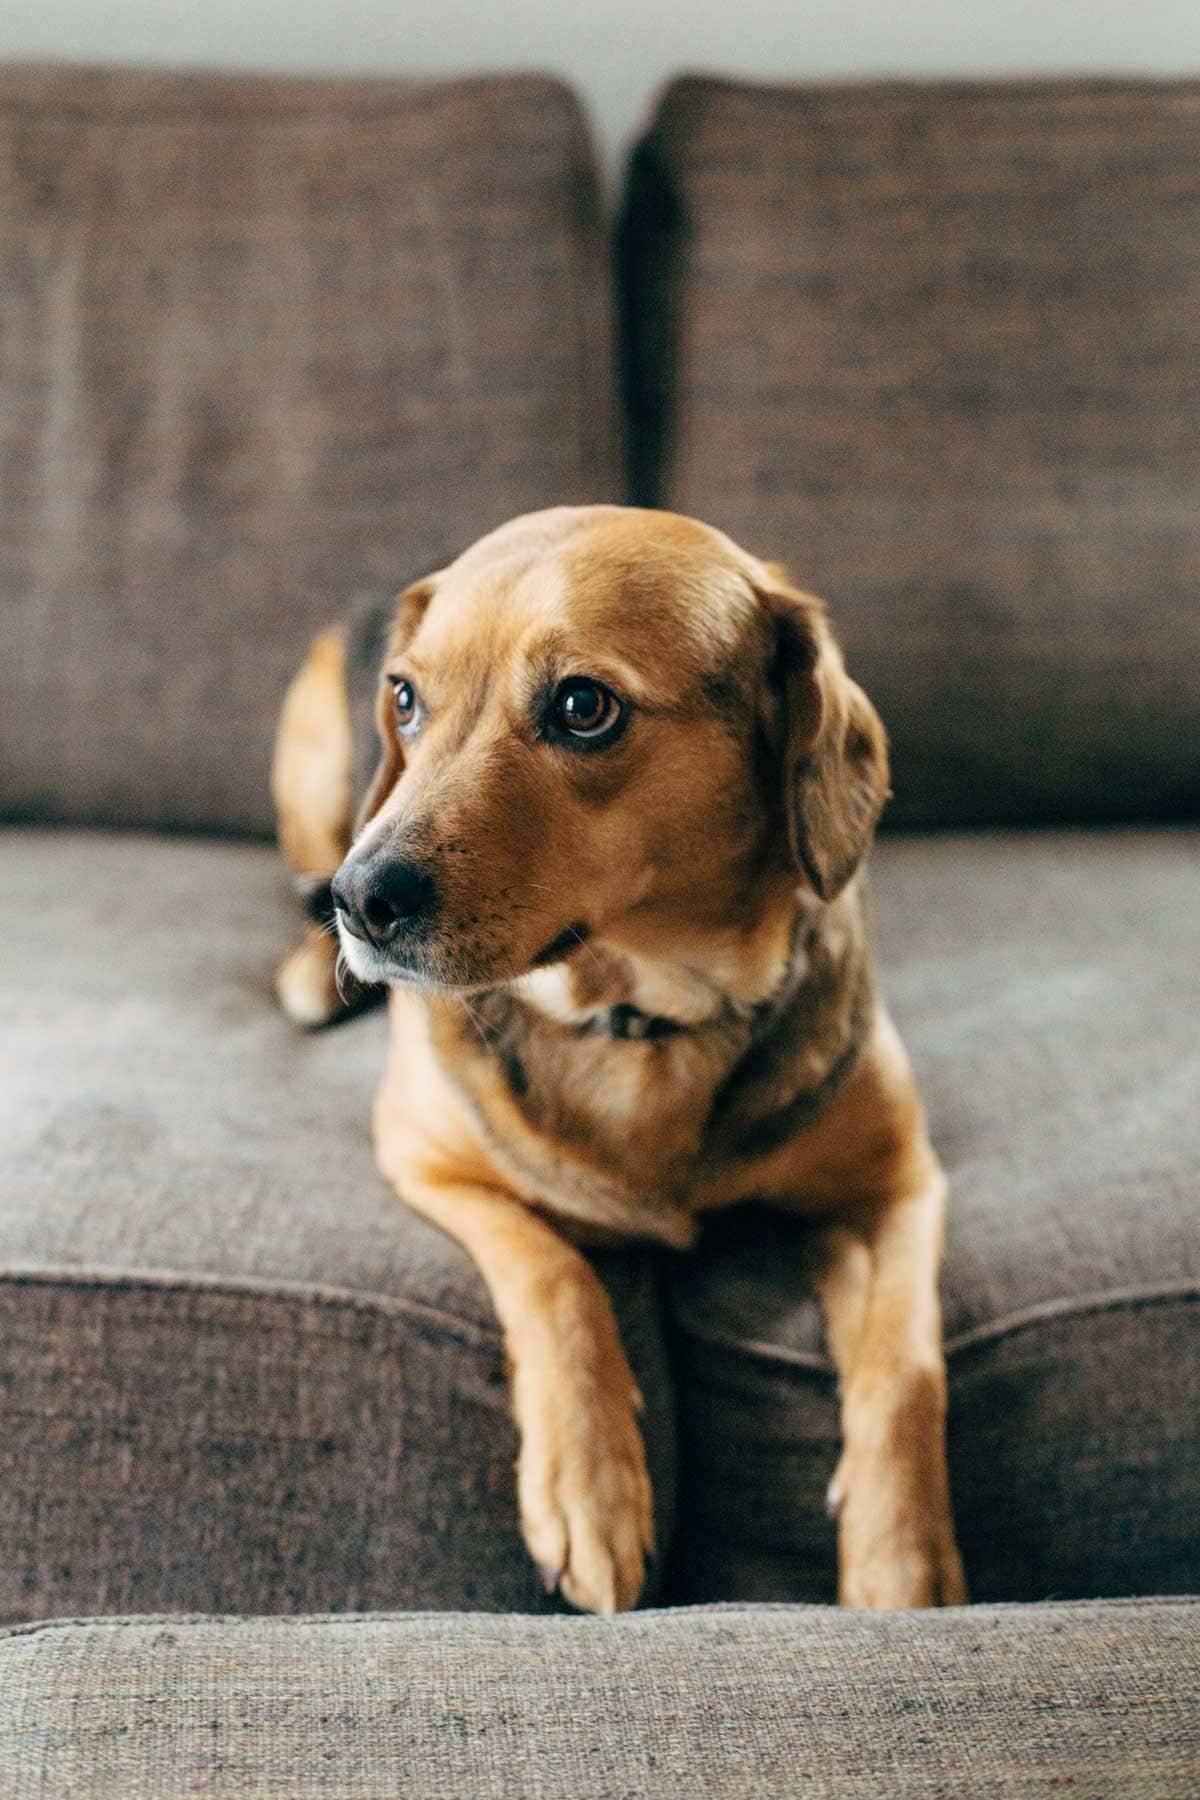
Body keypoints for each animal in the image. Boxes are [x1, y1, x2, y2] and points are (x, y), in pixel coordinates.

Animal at [269, 507, 964, 1620]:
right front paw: (589, 1490)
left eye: (583, 707)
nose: (358, 901)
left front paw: (903, 1564)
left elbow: (907, 1368)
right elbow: (555, 1272)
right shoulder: (426, 1158)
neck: (641, 1015)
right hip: (310, 766)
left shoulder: (899, 1184)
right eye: (407, 699)